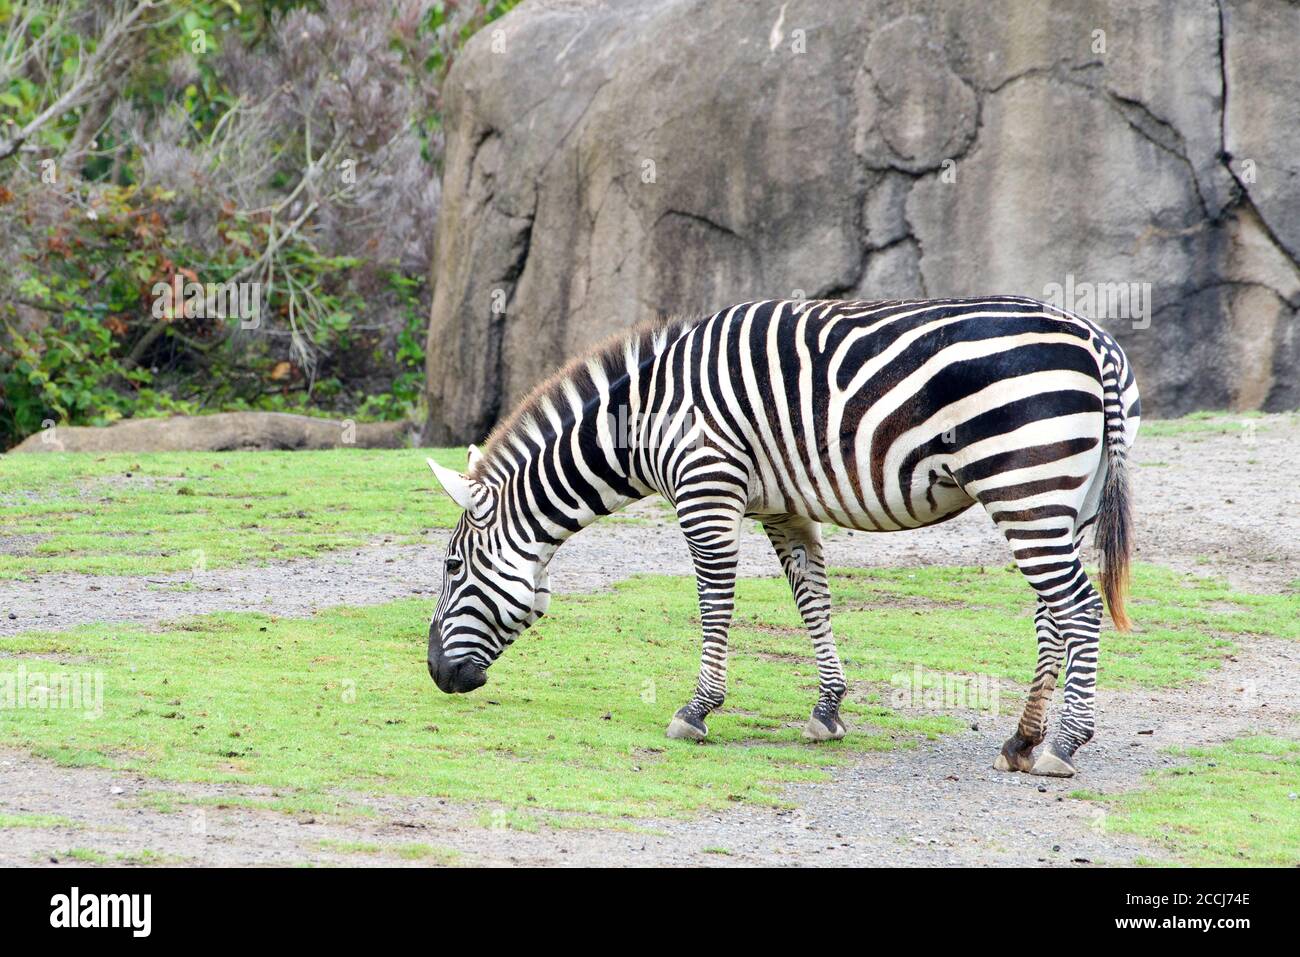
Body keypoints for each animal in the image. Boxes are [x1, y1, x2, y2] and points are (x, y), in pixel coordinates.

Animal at [426, 299, 1138, 780]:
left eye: (453, 566)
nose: (437, 674)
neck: (647, 418)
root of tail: (1095, 340)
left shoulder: (707, 488)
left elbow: (715, 603)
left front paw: (696, 711)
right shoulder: (781, 508)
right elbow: (812, 600)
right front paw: (827, 710)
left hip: (1025, 483)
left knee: (1079, 607)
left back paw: (1063, 745)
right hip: (1062, 499)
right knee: (1053, 613)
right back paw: (1021, 739)